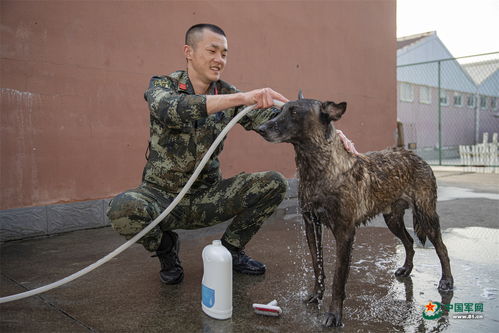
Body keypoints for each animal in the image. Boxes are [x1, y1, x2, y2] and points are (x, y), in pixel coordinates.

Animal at [256, 92, 456, 326]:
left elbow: (338, 278)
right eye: (280, 110)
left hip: (426, 216)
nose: (260, 128)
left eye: (295, 112)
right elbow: (317, 265)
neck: (320, 168)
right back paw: (406, 268)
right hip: (392, 219)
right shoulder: (311, 224)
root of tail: (415, 155)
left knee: (442, 248)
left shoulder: (345, 232)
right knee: (408, 242)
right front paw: (317, 295)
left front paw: (334, 314)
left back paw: (447, 280)